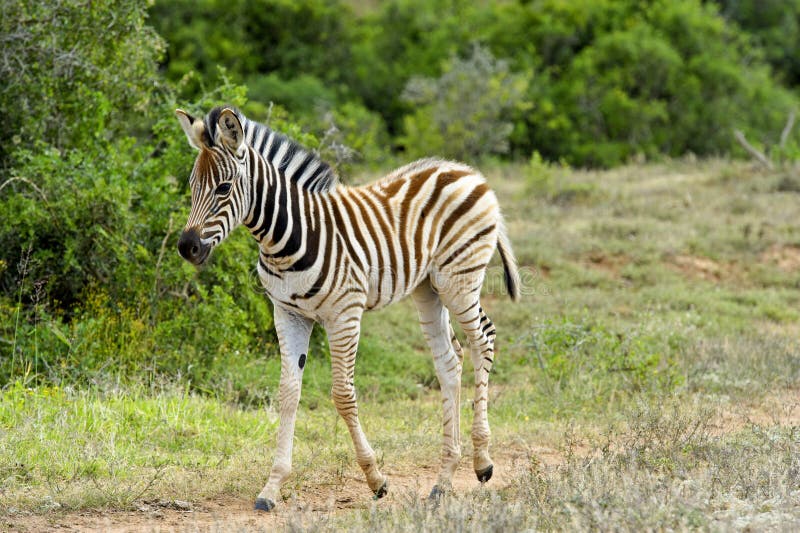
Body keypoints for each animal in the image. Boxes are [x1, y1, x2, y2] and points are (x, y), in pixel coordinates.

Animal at [175, 106, 520, 510]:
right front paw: (272, 487)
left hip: (459, 278)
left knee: (483, 340)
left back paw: (482, 461)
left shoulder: (344, 314)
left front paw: (376, 479)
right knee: (449, 361)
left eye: (223, 188)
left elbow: (342, 394)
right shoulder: (288, 313)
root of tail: (465, 171)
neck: (285, 240)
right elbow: (287, 393)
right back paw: (444, 479)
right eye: (192, 186)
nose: (186, 248)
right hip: (428, 287)